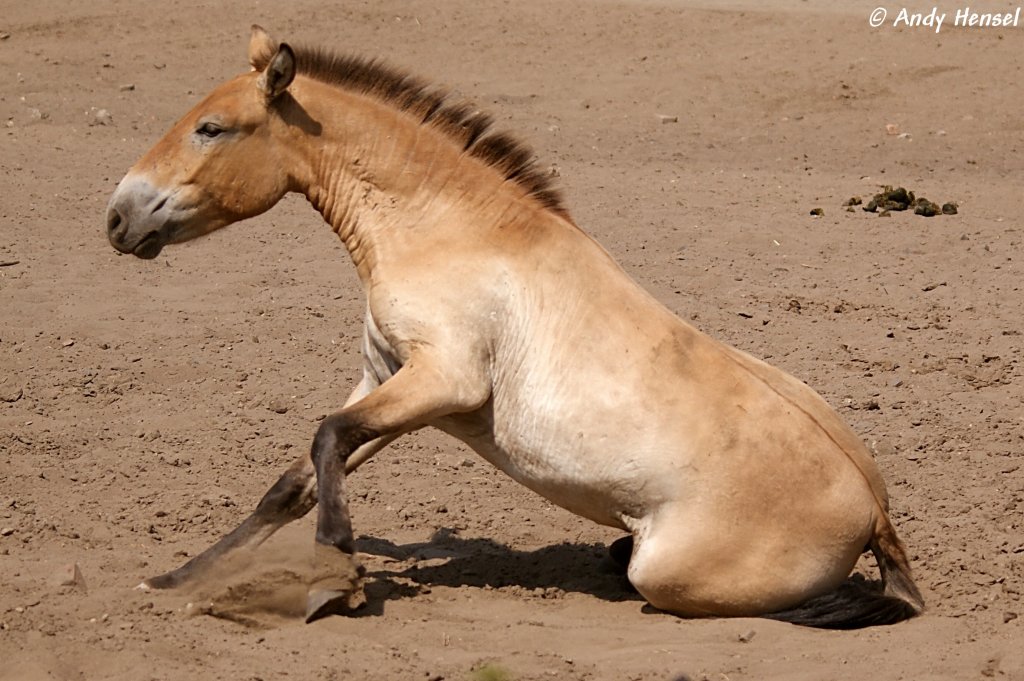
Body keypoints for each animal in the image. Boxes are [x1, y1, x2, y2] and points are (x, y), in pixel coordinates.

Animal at [105, 26, 924, 627]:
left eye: (212, 128)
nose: (117, 217)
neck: (451, 230)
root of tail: (872, 512)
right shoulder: (392, 380)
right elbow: (295, 480)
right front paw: (176, 579)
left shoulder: (441, 381)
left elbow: (326, 438)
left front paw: (335, 582)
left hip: (669, 574)